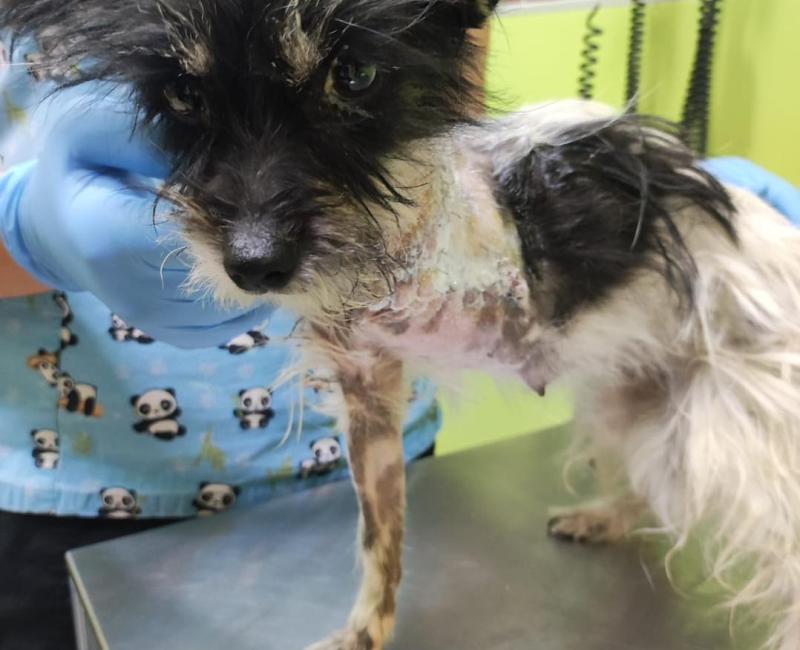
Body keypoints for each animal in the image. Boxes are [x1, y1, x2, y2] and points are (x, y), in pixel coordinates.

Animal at [5, 2, 800, 649]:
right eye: (183, 95)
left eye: (354, 76)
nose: (255, 266)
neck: (396, 233)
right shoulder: (366, 385)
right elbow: (377, 535)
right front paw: (367, 629)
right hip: (638, 403)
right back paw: (605, 517)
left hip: (729, 429)